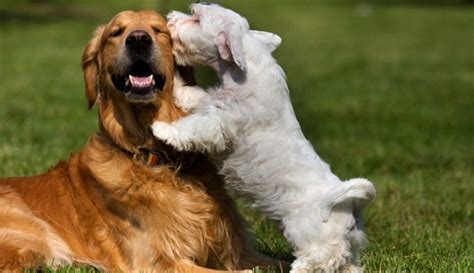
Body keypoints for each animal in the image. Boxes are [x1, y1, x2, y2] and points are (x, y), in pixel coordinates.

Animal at [154, 4, 376, 272]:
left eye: (196, 18)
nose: (169, 19)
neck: (247, 73)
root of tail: (349, 205)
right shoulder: (212, 102)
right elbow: (194, 96)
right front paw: (177, 82)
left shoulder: (219, 124)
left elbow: (193, 128)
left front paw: (162, 130)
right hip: (349, 250)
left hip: (312, 239)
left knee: (316, 260)